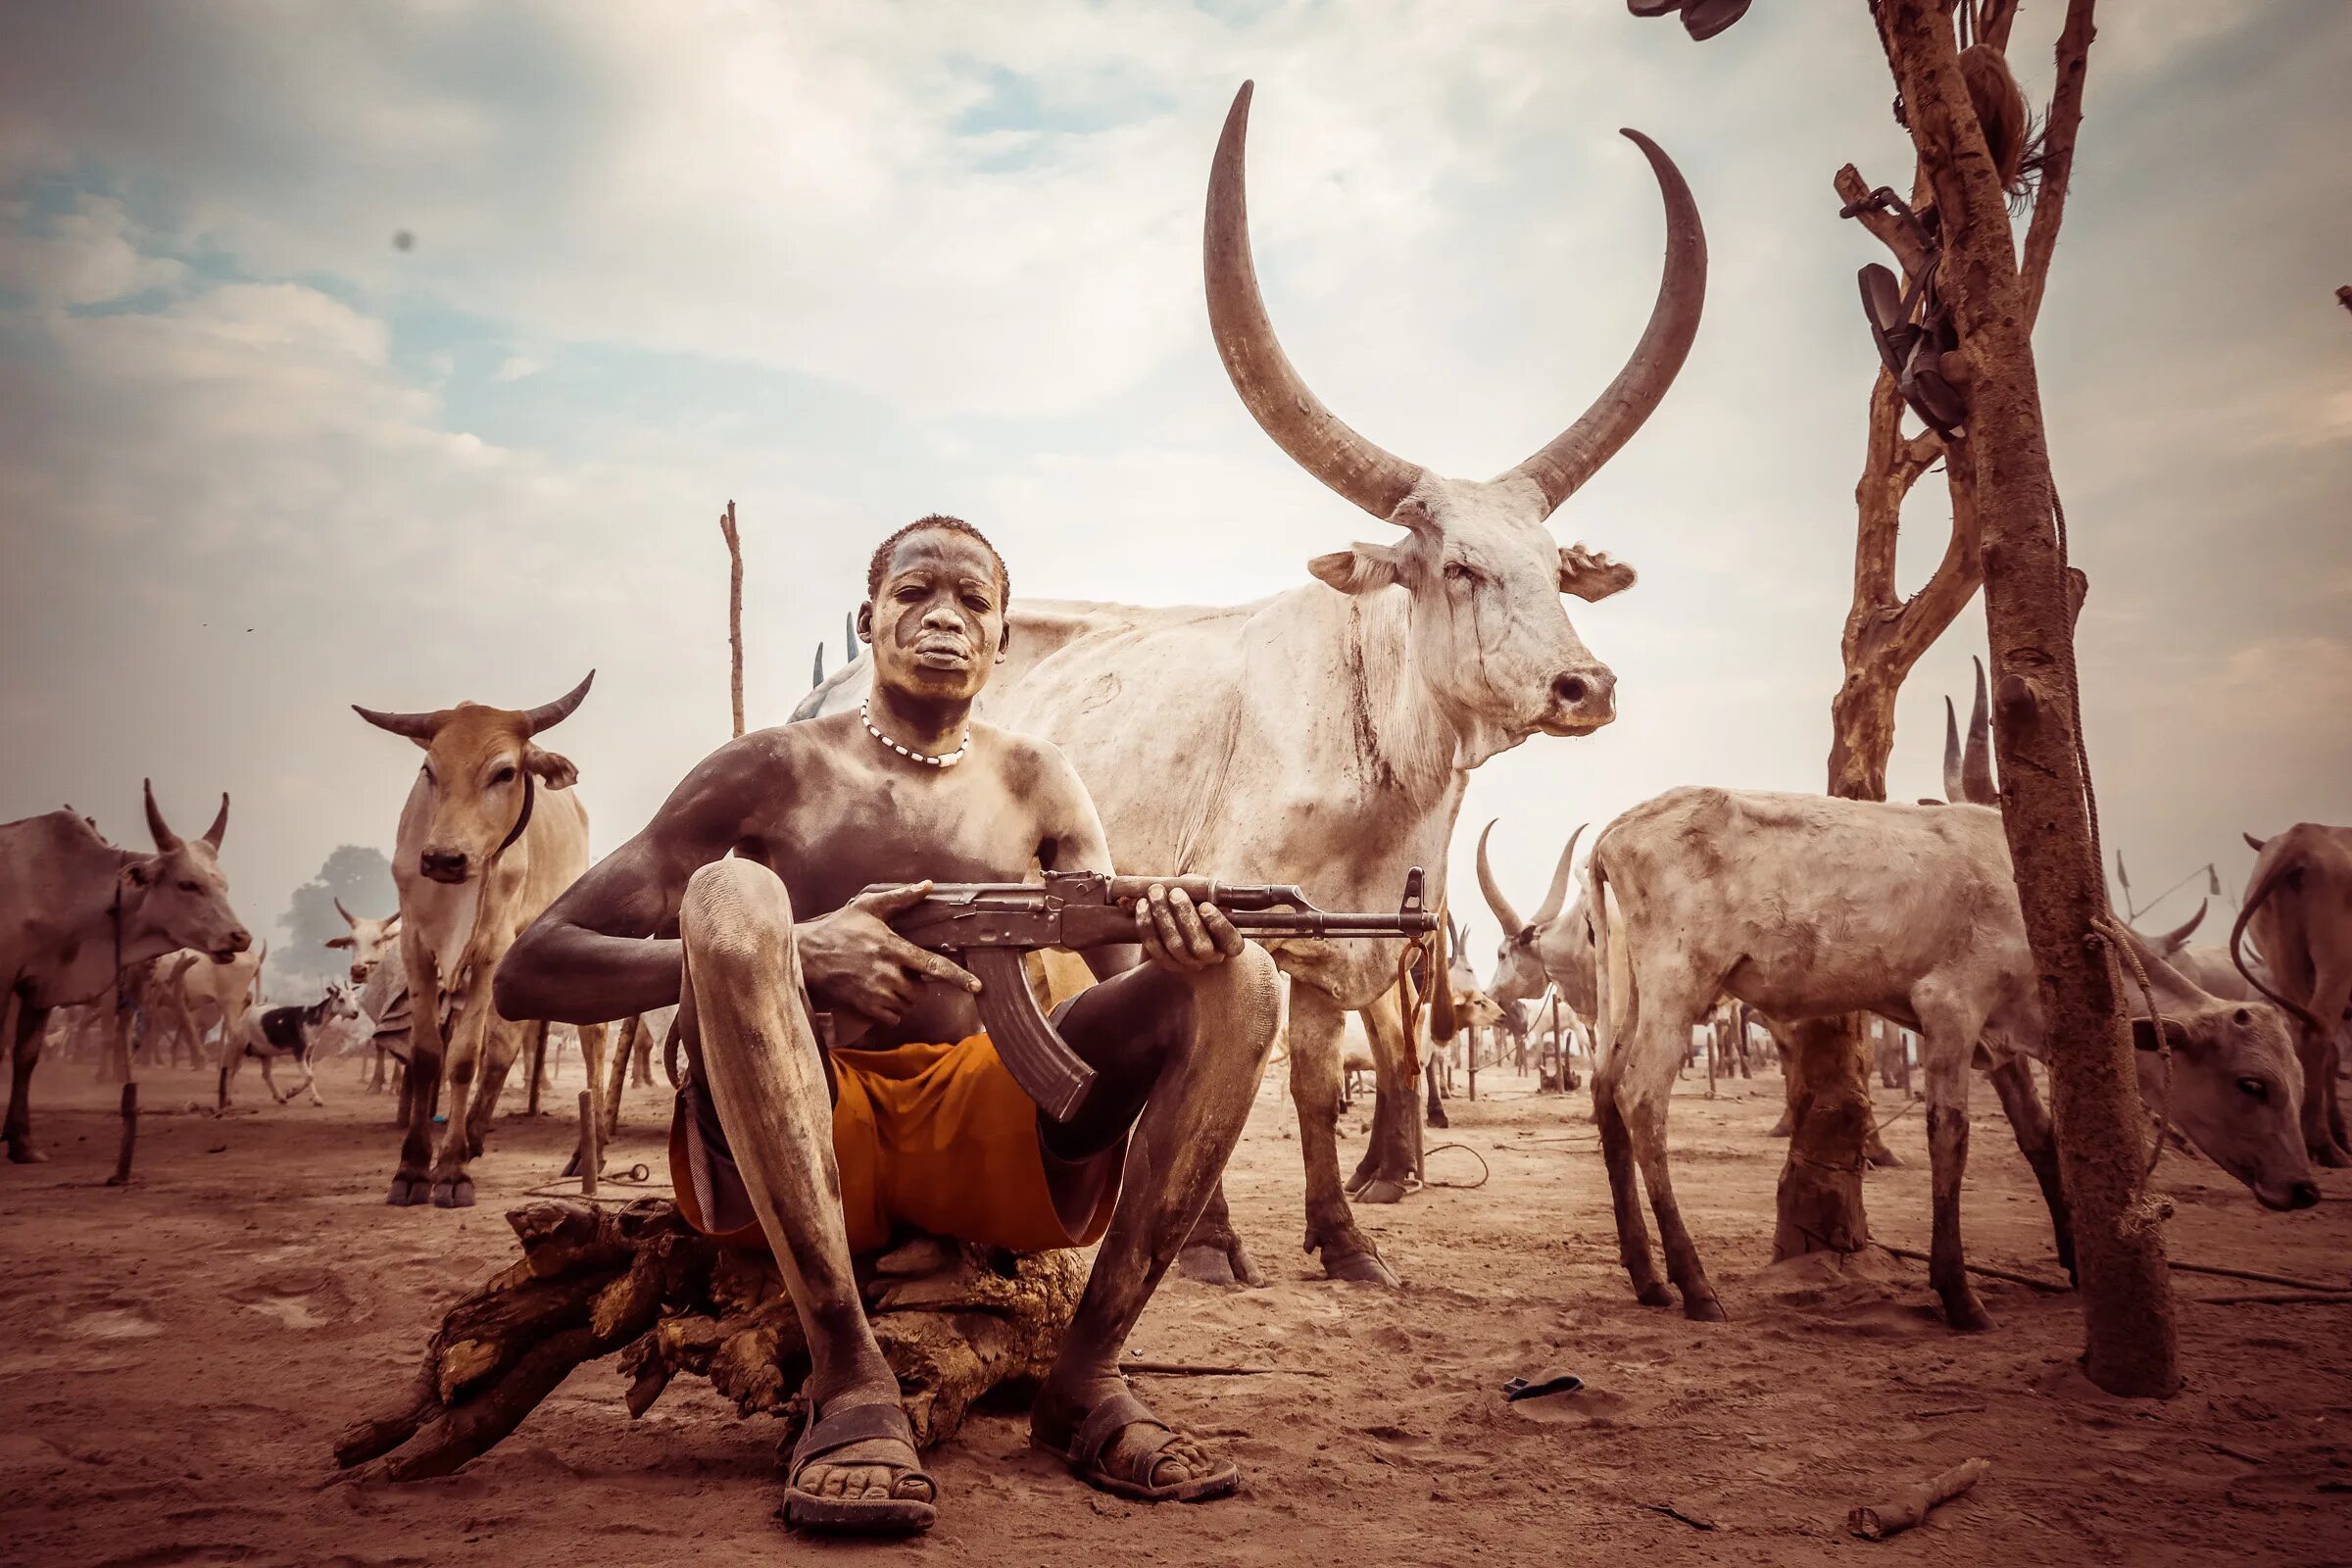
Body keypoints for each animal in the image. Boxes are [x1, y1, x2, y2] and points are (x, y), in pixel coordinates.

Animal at [0, 789, 251, 1161]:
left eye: (224, 885)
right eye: (187, 884)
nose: (240, 937)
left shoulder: (41, 986)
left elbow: (26, 1057)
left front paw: (22, 1143)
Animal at [353, 667, 607, 1212]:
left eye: (504, 772)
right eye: (429, 769)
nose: (444, 858)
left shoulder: (492, 949)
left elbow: (464, 1058)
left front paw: (450, 1173)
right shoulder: (416, 946)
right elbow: (428, 1055)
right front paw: (412, 1168)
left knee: (592, 1037)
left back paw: (588, 1155)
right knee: (507, 1046)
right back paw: (472, 1135)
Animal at [800, 79, 1702, 1288]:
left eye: (1558, 568)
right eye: (1456, 566)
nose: (1582, 685)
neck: (1381, 753)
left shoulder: (1336, 951)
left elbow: (1316, 1084)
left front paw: (1346, 1238)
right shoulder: (1245, 927)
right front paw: (1212, 1244)